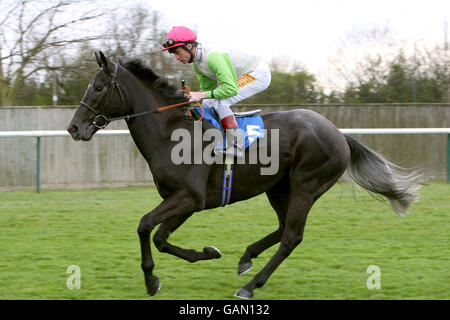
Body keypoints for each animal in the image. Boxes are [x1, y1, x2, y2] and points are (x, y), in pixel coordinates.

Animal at [67, 51, 422, 298]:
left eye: (98, 87)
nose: (73, 128)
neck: (171, 133)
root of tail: (339, 134)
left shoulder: (189, 198)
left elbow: (144, 226)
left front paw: (151, 279)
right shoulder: (185, 200)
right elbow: (160, 237)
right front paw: (207, 253)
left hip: (307, 185)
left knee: (292, 236)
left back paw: (251, 285)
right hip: (279, 188)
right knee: (283, 228)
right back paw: (246, 258)